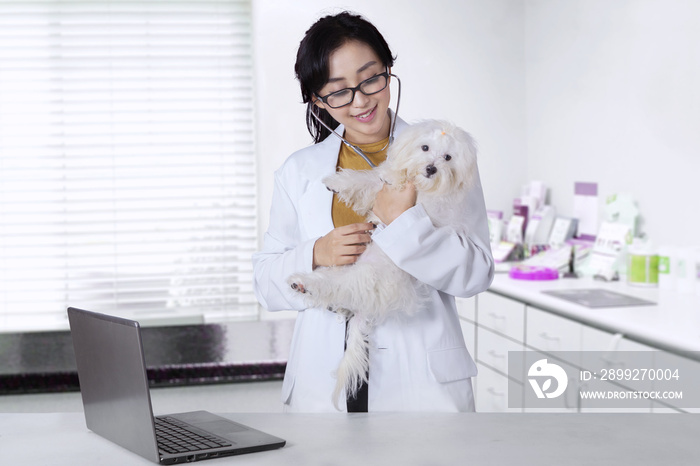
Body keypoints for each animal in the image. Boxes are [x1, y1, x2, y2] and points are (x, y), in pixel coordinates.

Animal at [288, 119, 478, 408]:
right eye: (425, 147)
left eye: (448, 157)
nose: (431, 168)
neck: (417, 183)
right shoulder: (385, 180)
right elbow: (371, 179)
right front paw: (336, 182)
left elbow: (384, 190)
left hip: (368, 276)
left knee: (338, 287)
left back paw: (306, 284)